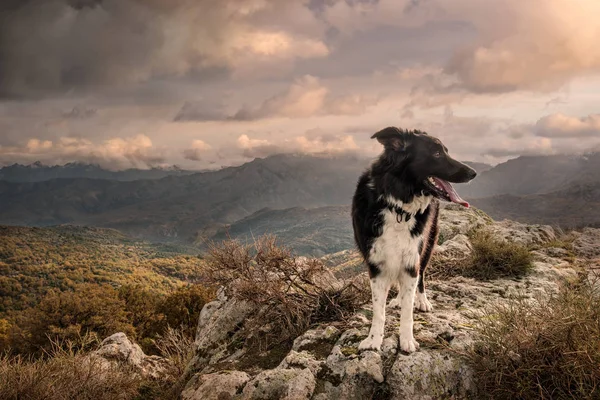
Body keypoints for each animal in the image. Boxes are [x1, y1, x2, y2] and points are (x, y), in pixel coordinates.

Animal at [352, 126, 478, 354]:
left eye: (446, 151)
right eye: (436, 154)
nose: (473, 173)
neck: (398, 207)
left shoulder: (412, 261)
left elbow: (408, 311)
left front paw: (406, 340)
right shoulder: (376, 265)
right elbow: (378, 311)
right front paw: (374, 340)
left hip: (427, 245)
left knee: (421, 278)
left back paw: (422, 300)